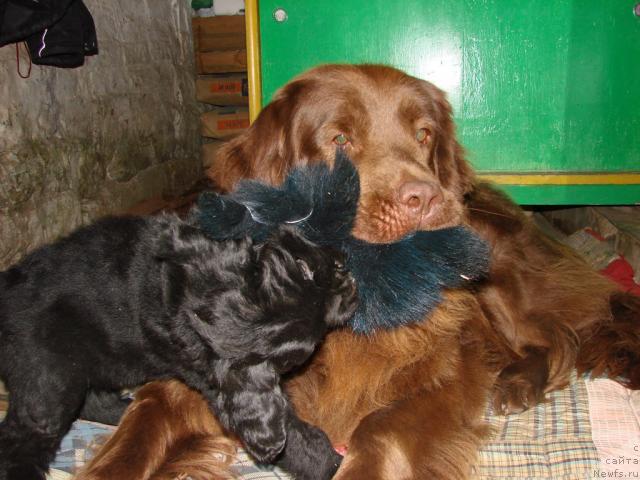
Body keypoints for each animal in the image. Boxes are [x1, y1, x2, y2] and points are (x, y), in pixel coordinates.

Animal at [0, 215, 358, 480]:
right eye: (306, 269)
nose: (346, 266)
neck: (184, 297)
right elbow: (294, 435)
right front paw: (332, 464)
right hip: (49, 379)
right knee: (24, 436)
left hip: (101, 358)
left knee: (94, 399)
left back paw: (124, 409)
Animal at [80, 64, 640, 480]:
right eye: (339, 140)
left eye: (424, 133)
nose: (426, 198)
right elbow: (139, 428)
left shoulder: (441, 375)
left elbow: (378, 429)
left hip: (493, 272)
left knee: (559, 337)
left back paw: (518, 383)